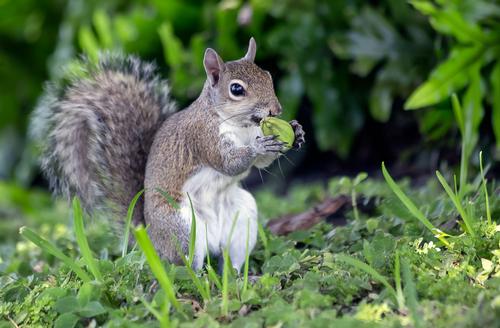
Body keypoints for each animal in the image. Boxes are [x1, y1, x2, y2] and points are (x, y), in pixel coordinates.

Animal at [32, 37, 304, 270]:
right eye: (236, 89)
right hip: (181, 229)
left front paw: (297, 132)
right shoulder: (202, 137)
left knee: (232, 259)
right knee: (186, 268)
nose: (276, 109)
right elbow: (228, 164)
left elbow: (261, 164)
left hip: (242, 218)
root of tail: (152, 242)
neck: (240, 126)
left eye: (267, 76)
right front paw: (259, 147)